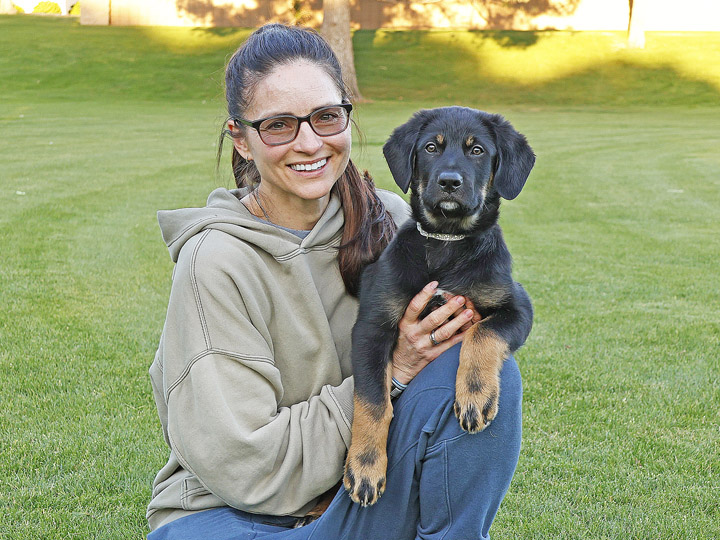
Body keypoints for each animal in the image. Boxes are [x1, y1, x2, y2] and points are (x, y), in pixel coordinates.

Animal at [344, 106, 536, 506]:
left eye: (477, 150)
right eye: (432, 147)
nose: (449, 182)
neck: (447, 241)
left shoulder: (517, 304)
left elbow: (483, 333)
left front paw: (476, 395)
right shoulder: (371, 326)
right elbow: (371, 400)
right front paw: (365, 467)